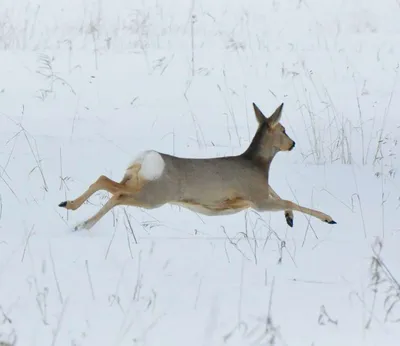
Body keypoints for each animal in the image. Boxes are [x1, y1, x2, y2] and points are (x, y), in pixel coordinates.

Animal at [57, 103, 336, 232]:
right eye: (284, 129)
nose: (292, 144)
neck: (257, 165)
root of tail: (145, 158)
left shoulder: (256, 195)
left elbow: (281, 195)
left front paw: (290, 219)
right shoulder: (256, 199)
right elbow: (289, 200)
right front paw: (328, 218)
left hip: (136, 182)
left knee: (106, 181)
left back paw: (69, 206)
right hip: (155, 195)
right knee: (116, 195)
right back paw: (83, 224)